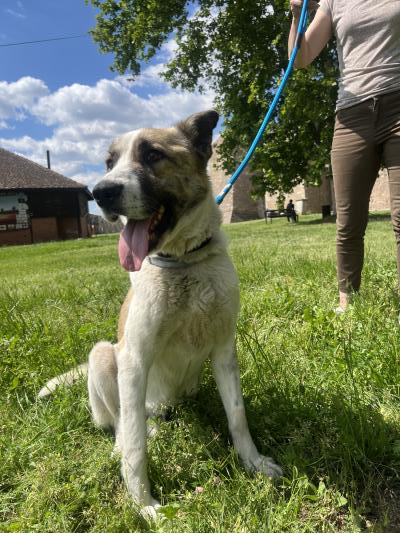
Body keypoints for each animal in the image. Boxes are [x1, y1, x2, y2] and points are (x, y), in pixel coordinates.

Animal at [39, 110, 282, 516]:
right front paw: (144, 504)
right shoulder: (134, 360)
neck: (183, 262)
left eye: (153, 155)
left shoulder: (224, 351)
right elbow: (136, 446)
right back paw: (126, 441)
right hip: (104, 355)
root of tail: (163, 407)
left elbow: (237, 415)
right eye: (109, 163)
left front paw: (254, 462)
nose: (101, 192)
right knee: (123, 424)